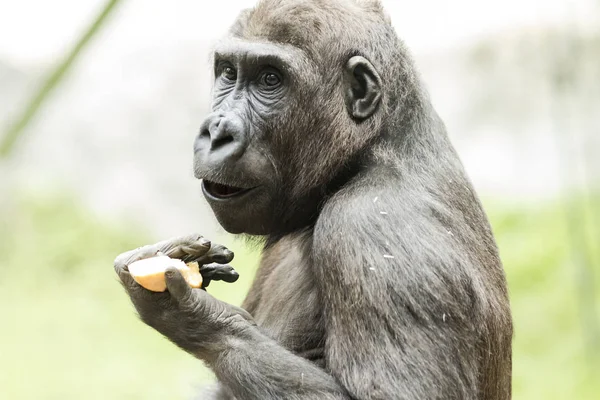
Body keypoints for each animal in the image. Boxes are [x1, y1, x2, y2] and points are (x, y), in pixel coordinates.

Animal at [115, 1, 512, 398]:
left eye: (270, 80)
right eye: (229, 72)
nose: (216, 131)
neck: (373, 147)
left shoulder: (373, 230)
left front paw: (192, 315)